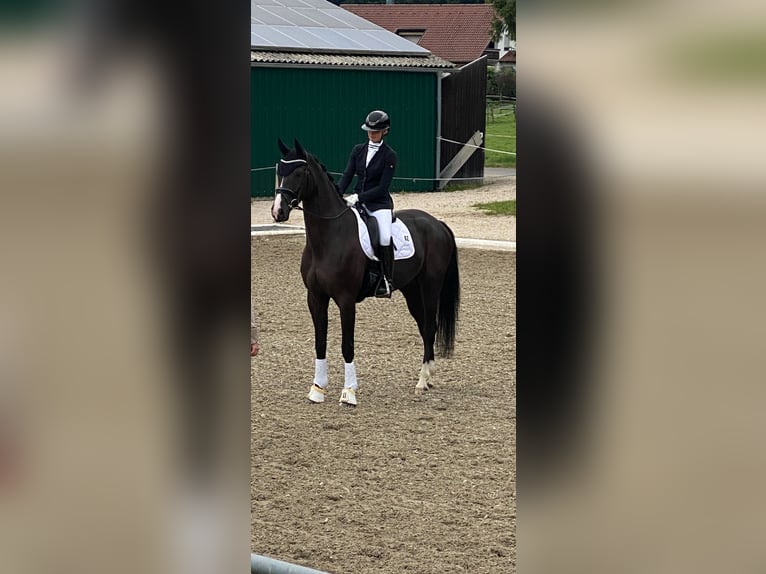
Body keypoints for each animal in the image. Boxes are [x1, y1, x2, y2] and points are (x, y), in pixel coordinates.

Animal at [270, 138, 460, 406]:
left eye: (298, 173)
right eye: (280, 171)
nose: (278, 212)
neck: (328, 237)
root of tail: (437, 223)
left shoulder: (346, 299)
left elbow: (347, 344)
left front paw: (349, 392)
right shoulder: (315, 297)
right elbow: (320, 341)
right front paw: (317, 388)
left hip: (430, 287)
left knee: (430, 327)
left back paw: (422, 381)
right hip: (411, 290)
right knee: (425, 327)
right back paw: (428, 377)